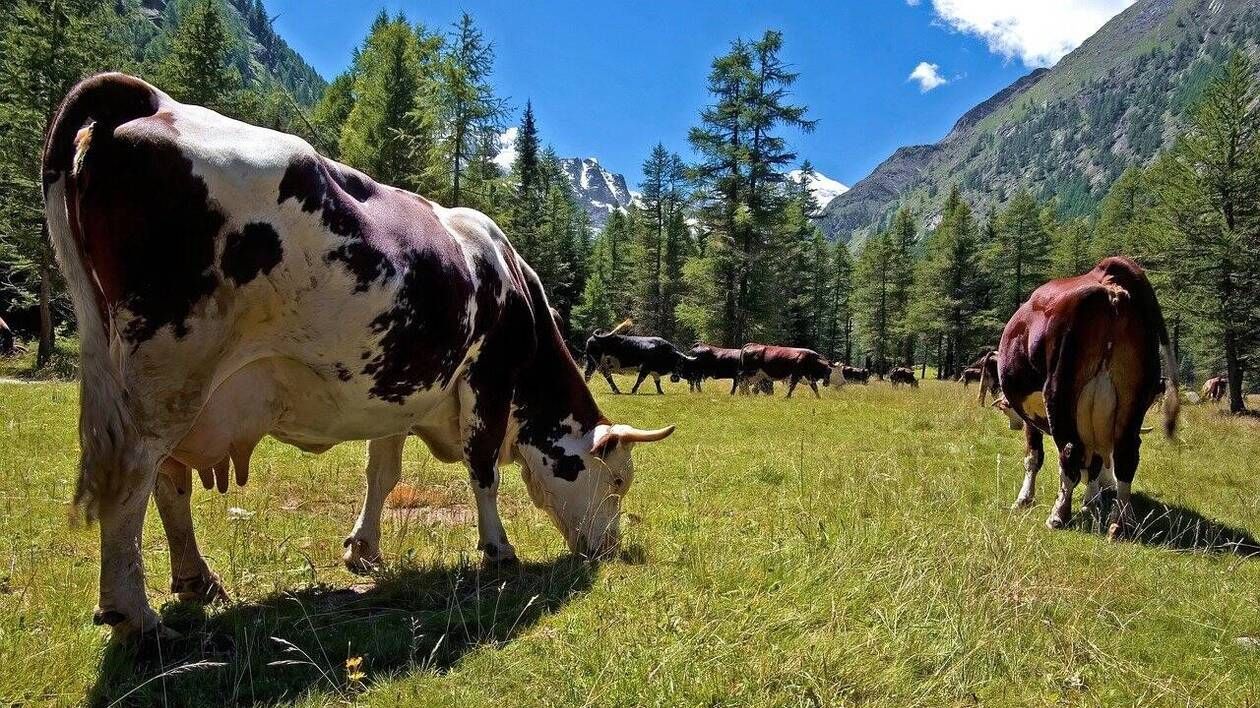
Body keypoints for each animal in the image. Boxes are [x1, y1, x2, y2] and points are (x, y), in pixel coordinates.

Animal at [44, 74, 680, 637]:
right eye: (617, 481)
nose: (609, 548)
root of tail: (156, 101)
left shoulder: (399, 388)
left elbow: (383, 472)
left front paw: (364, 549)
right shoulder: (487, 380)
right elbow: (483, 470)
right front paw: (498, 551)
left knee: (168, 480)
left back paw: (196, 581)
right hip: (167, 371)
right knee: (134, 473)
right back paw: (135, 615)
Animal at [982, 255, 1179, 536]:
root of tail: (1105, 276)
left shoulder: (1035, 415)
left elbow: (1034, 457)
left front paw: (1024, 499)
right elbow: (1094, 465)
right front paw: (1092, 501)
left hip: (1059, 393)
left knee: (1070, 451)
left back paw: (1059, 515)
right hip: (1132, 401)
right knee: (1126, 456)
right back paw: (1120, 523)